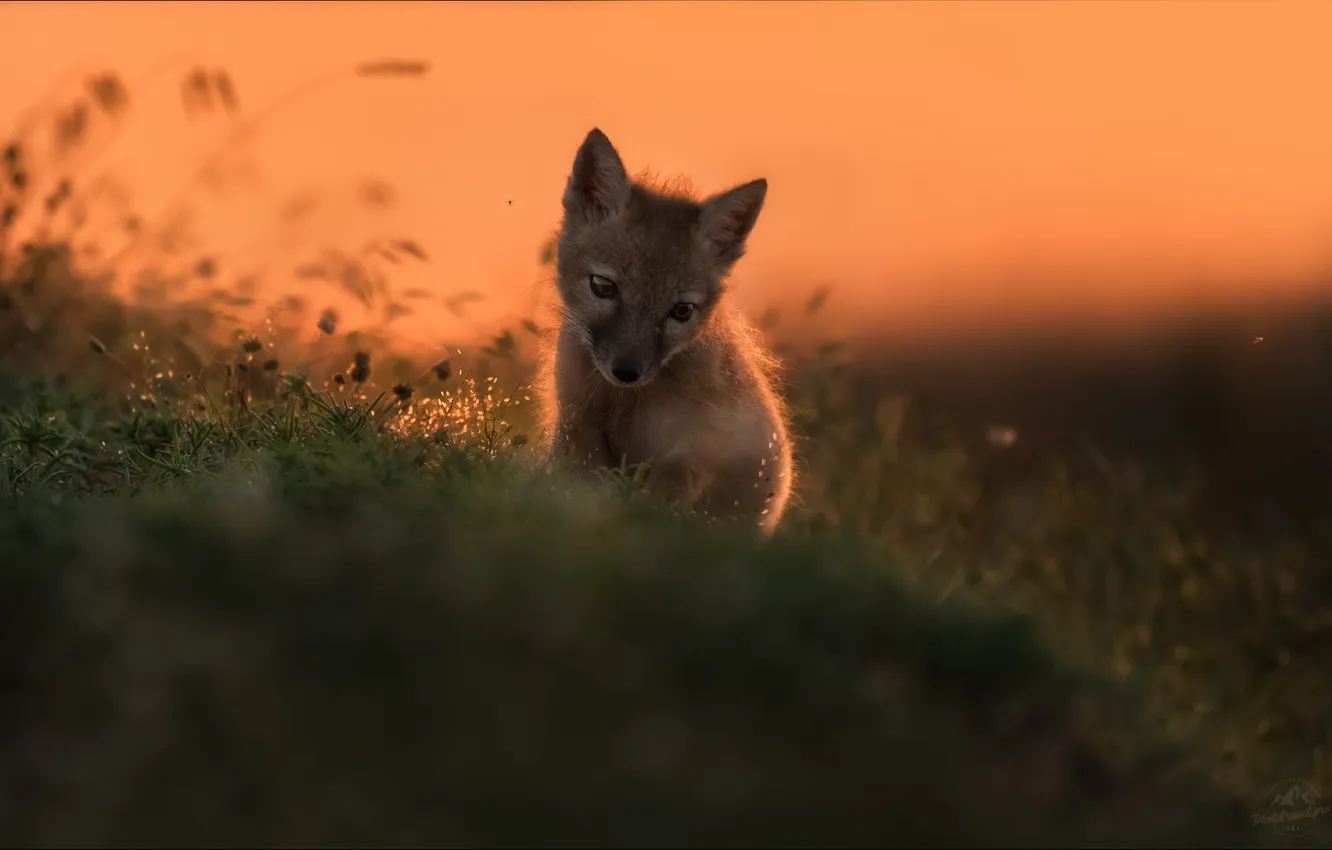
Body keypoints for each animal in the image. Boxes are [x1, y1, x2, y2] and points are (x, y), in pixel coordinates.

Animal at [539, 128, 794, 535]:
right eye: (603, 287)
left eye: (681, 311)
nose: (627, 371)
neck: (625, 403)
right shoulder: (577, 424)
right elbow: (584, 489)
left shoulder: (698, 448)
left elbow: (659, 494)